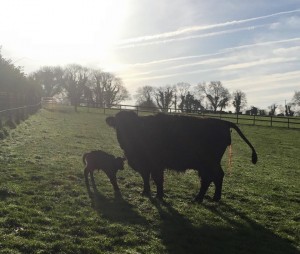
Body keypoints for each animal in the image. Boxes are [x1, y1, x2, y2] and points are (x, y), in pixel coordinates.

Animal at [106, 111, 258, 202]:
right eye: (118, 124)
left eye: (132, 125)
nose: (125, 136)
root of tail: (223, 122)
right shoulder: (145, 165)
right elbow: (146, 178)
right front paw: (145, 192)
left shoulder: (156, 165)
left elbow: (157, 179)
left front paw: (159, 196)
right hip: (208, 164)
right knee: (214, 177)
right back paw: (210, 198)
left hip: (209, 163)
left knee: (212, 177)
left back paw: (202, 198)